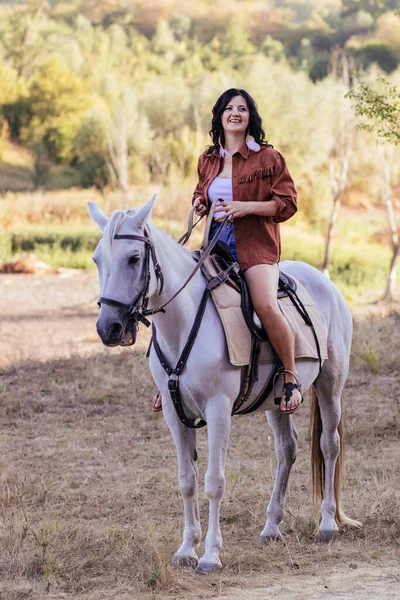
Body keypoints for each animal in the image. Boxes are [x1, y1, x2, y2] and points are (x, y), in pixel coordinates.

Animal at [89, 195, 360, 576]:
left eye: (134, 258)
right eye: (98, 259)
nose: (108, 327)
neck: (183, 323)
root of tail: (325, 282)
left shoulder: (218, 410)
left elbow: (213, 483)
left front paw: (210, 556)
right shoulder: (174, 412)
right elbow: (187, 480)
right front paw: (186, 549)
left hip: (330, 384)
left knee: (329, 444)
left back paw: (327, 524)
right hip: (277, 400)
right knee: (287, 449)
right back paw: (271, 526)